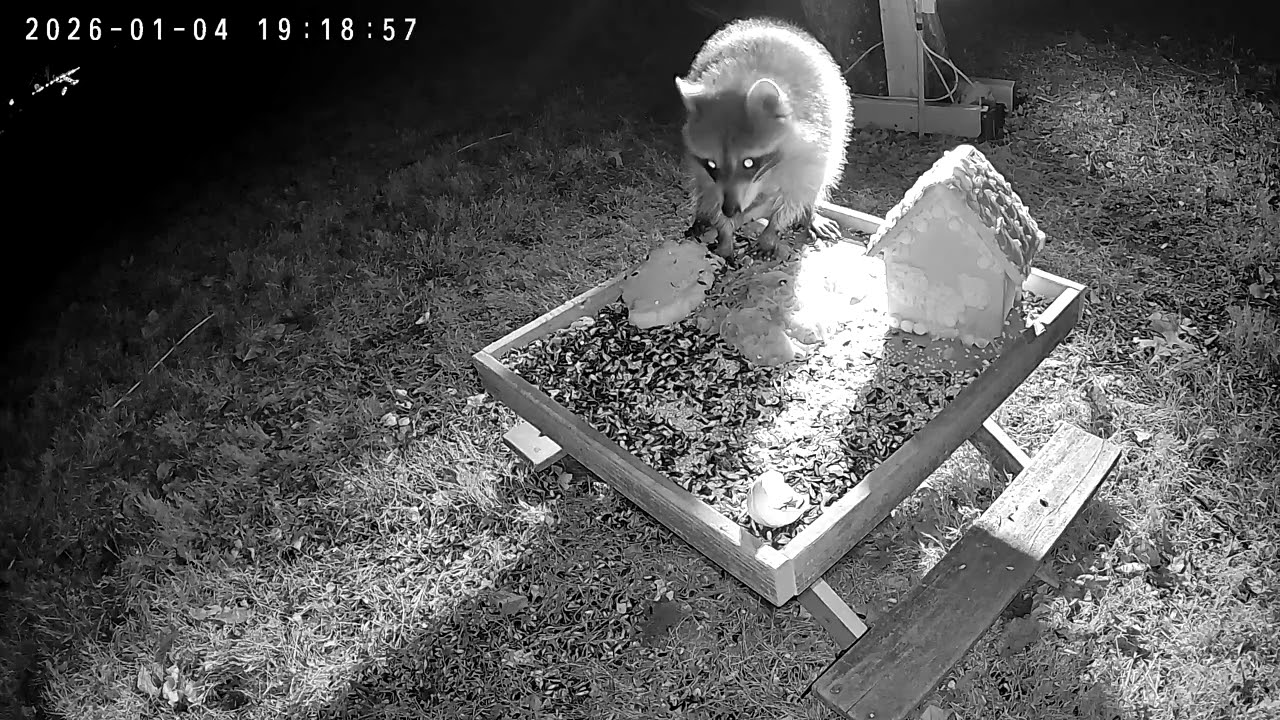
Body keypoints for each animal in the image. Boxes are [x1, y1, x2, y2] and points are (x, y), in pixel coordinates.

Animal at [675, 17, 852, 259]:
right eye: (711, 164)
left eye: (749, 162)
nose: (730, 210)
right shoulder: (705, 172)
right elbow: (710, 190)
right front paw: (724, 234)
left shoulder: (814, 144)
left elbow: (796, 194)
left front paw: (772, 232)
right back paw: (702, 216)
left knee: (819, 180)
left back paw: (810, 212)